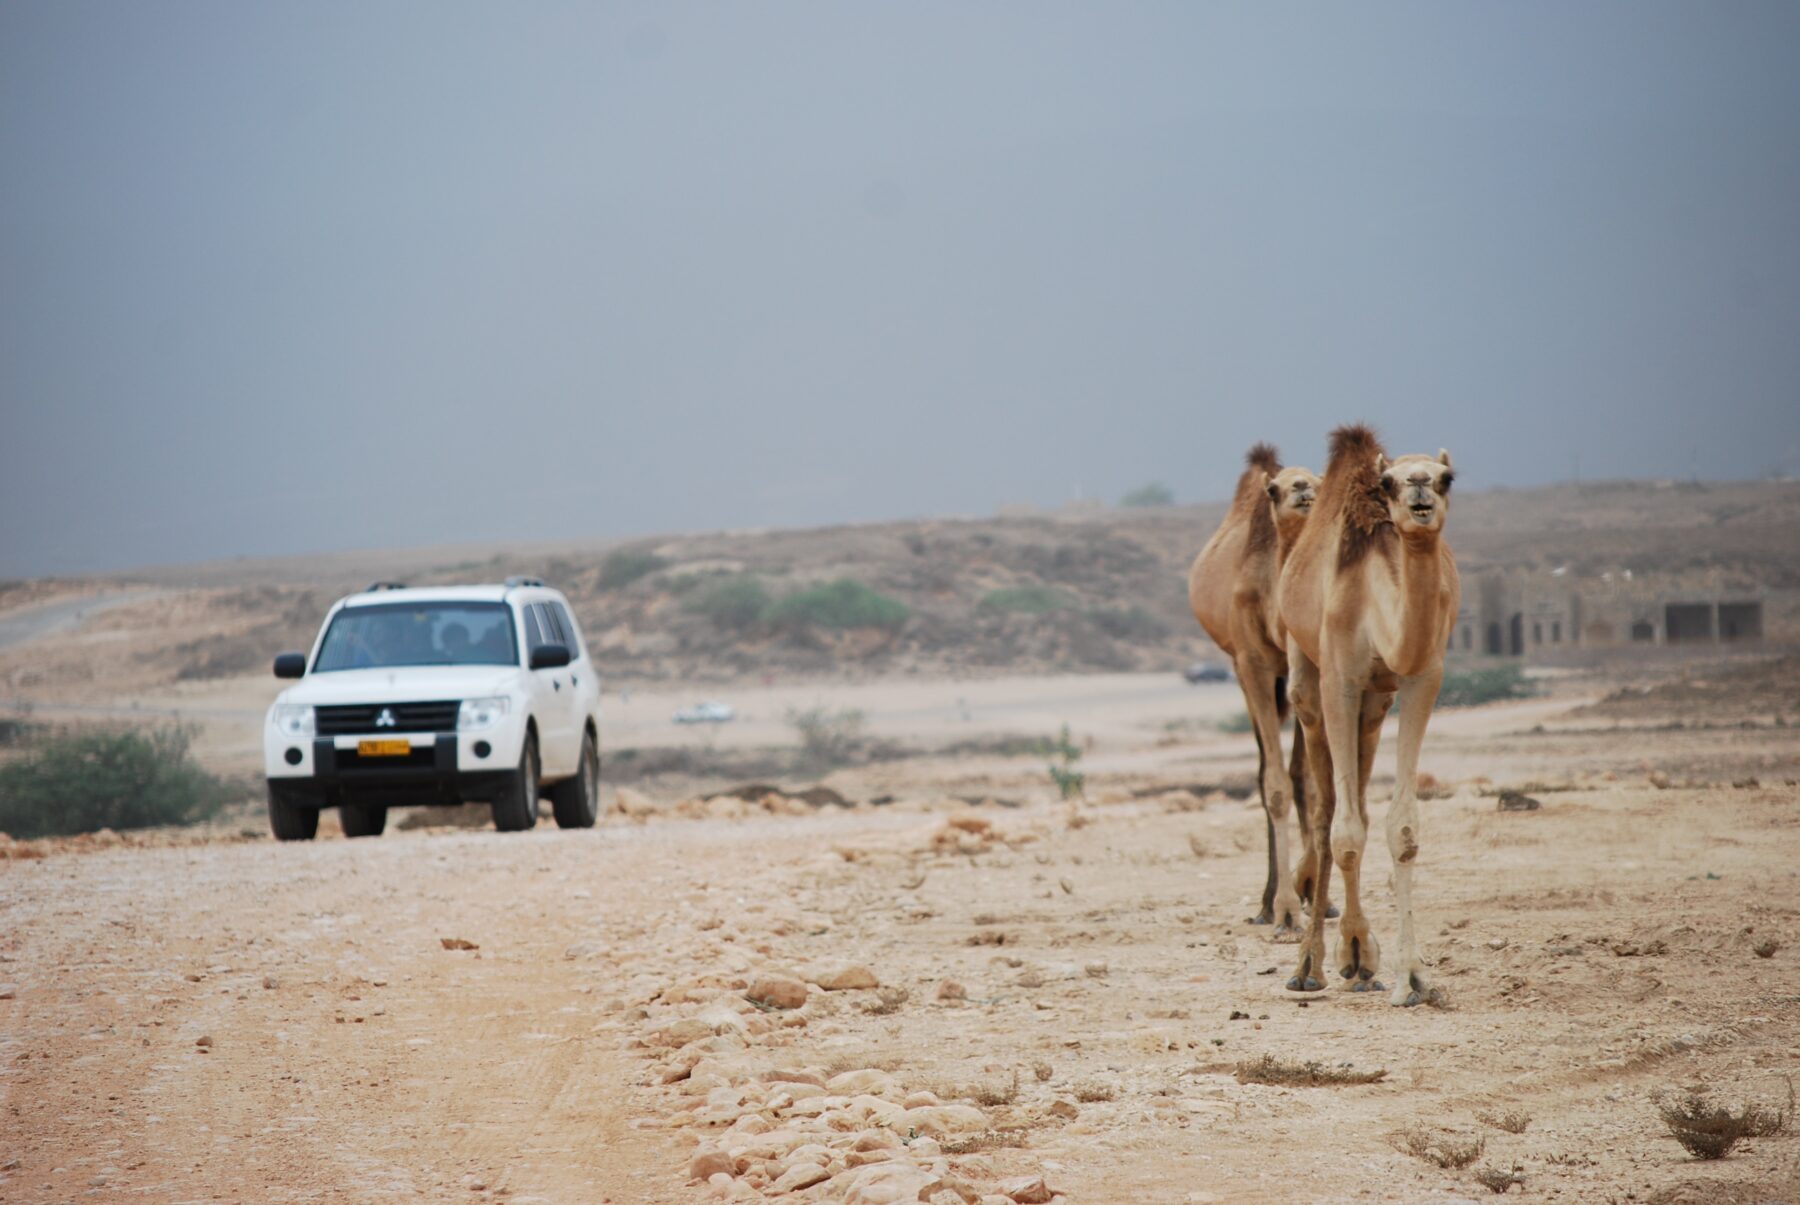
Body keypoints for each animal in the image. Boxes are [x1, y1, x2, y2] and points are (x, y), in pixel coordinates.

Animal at [1195, 446, 1324, 936]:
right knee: (1264, 770)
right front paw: (1287, 907)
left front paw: (1312, 888)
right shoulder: (1252, 665)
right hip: (1244, 673)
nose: (1302, 488)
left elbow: (1309, 780)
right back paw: (1269, 904)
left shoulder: (1311, 668)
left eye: (1321, 480)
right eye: (1273, 489)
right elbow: (1275, 785)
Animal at [1281, 423, 1461, 1008]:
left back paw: (1359, 961)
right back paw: (1312, 964)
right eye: (1388, 482)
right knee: (1326, 812)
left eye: (1449, 476)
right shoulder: (1340, 678)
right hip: (1307, 672)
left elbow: (1401, 828)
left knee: (1355, 796)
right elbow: (1343, 833)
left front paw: (1411, 978)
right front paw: (1337, 959)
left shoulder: (1422, 675)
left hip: (1376, 704)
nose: (1420, 488)